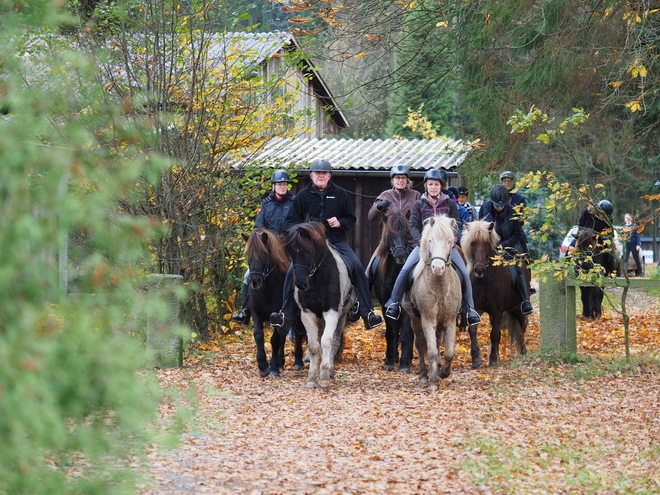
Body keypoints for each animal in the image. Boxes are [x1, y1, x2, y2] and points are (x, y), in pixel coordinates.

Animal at [244, 231, 306, 378]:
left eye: (264, 253)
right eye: (248, 254)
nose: (254, 281)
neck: (267, 286)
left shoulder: (279, 313)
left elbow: (275, 339)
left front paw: (272, 367)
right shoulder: (256, 312)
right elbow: (259, 335)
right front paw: (263, 366)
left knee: (298, 333)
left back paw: (297, 361)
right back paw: (281, 361)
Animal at [282, 223, 358, 390]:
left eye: (308, 251)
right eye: (291, 252)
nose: (301, 284)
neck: (317, 279)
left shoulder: (332, 312)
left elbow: (327, 341)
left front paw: (323, 377)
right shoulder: (307, 314)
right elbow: (314, 346)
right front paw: (312, 378)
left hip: (342, 316)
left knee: (334, 341)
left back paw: (330, 372)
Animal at [400, 217, 462, 392]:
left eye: (449, 241)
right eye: (430, 240)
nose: (438, 268)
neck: (439, 286)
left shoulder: (450, 320)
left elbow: (449, 353)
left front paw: (443, 373)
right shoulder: (427, 319)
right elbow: (432, 351)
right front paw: (433, 380)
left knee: (438, 341)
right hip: (415, 319)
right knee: (421, 345)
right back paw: (423, 376)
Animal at [462, 221, 528, 368]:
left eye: (487, 244)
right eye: (472, 243)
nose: (479, 270)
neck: (485, 280)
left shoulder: (497, 310)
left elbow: (494, 335)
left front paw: (492, 360)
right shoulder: (477, 308)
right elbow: (473, 331)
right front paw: (476, 359)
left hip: (518, 308)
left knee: (522, 328)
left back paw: (523, 352)